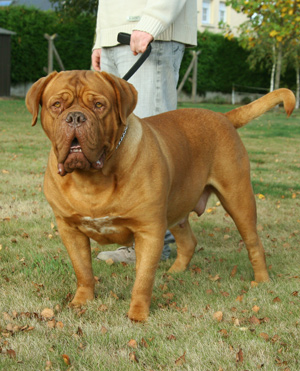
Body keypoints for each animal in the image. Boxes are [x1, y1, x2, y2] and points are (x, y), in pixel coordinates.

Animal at [26, 72, 296, 322]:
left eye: (99, 105)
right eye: (56, 105)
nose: (75, 117)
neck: (91, 179)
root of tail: (224, 116)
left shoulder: (149, 229)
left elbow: (143, 278)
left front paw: (138, 314)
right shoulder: (69, 229)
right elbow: (82, 269)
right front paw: (82, 300)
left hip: (238, 199)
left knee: (253, 243)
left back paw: (262, 281)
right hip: (177, 207)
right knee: (188, 242)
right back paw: (175, 272)